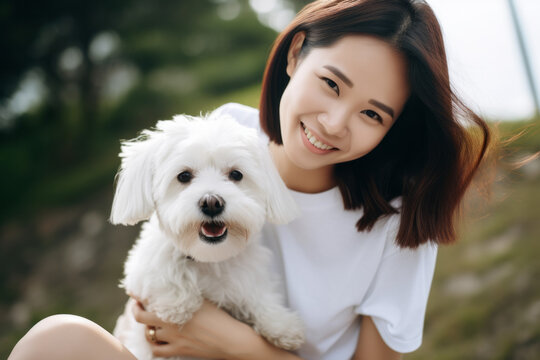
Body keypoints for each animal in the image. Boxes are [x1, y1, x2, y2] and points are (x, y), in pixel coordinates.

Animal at [110, 111, 306, 358]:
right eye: (184, 176)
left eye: (236, 174)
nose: (212, 202)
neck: (209, 258)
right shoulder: (142, 269)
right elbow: (162, 273)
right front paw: (177, 303)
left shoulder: (247, 276)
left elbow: (258, 295)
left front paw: (281, 324)